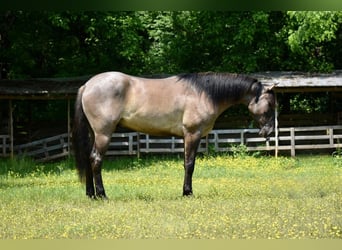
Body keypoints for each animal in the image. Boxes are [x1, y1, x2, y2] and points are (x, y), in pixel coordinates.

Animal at [71, 71, 276, 198]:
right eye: (270, 104)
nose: (268, 132)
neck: (203, 93)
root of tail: (87, 85)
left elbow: (186, 164)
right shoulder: (192, 134)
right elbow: (190, 164)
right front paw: (188, 192)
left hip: (93, 134)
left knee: (88, 159)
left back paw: (91, 195)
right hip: (103, 134)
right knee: (96, 159)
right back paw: (102, 195)